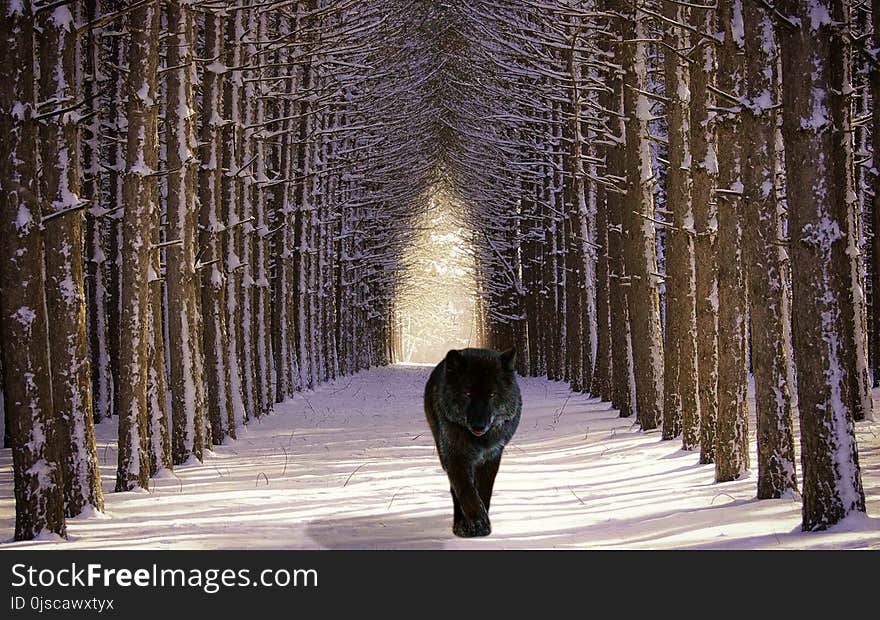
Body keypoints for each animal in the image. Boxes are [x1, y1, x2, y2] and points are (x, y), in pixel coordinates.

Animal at [422, 348, 520, 536]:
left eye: (492, 394)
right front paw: (476, 521)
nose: (478, 425)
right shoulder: (455, 456)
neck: (479, 440)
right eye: (467, 394)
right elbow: (465, 490)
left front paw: (482, 523)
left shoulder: (491, 457)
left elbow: (484, 491)